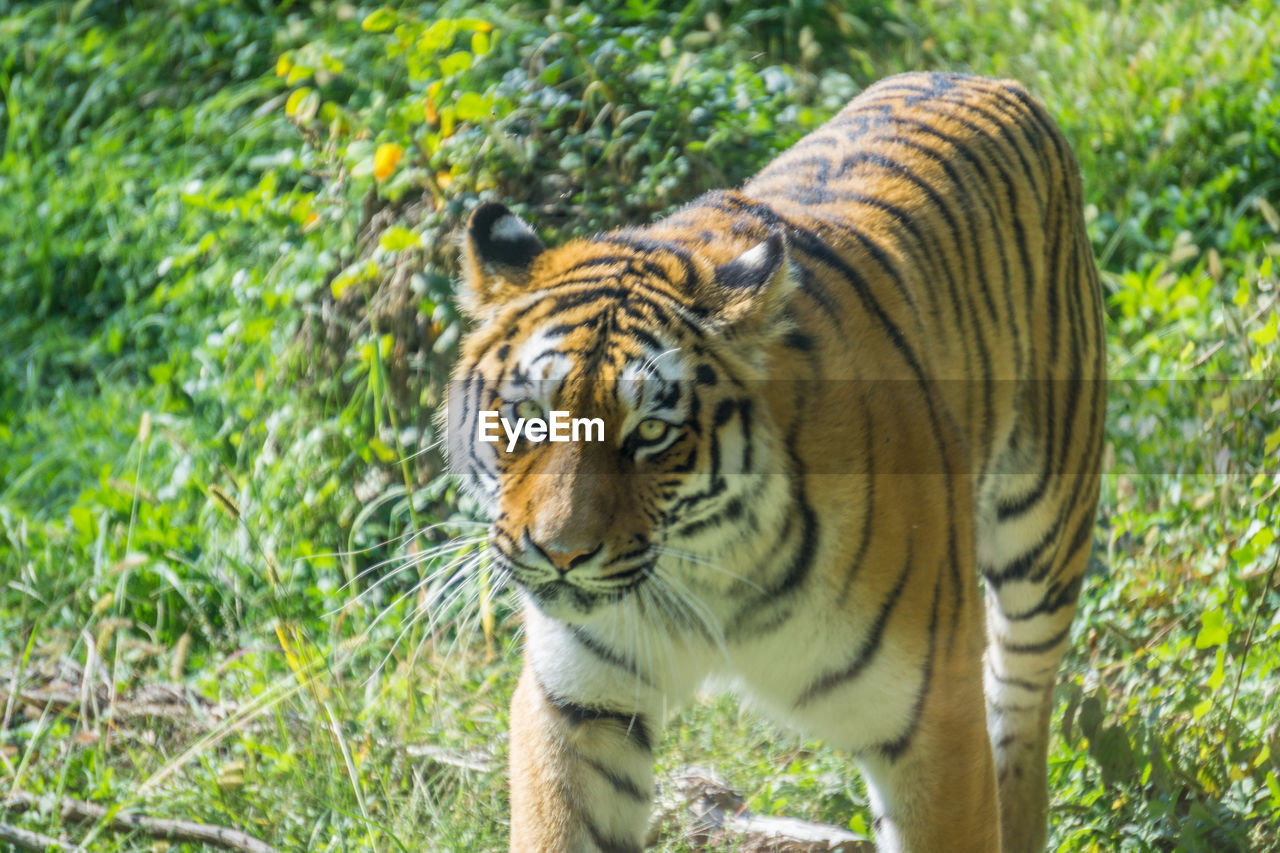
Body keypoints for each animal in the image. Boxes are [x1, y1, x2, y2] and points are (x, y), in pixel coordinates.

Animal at [448, 71, 1100, 850]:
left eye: (651, 432)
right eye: (528, 416)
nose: (561, 554)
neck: (707, 570)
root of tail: (985, 77)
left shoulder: (930, 712)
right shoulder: (579, 704)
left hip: (1044, 527)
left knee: (1022, 701)